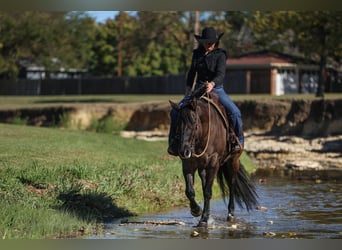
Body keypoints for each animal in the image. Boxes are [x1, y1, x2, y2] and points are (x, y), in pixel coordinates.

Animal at [170, 88, 258, 227]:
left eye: (194, 124)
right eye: (178, 124)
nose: (184, 151)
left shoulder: (213, 164)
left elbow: (207, 192)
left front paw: (204, 219)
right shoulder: (188, 164)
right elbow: (190, 191)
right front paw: (196, 210)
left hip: (233, 162)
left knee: (232, 184)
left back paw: (230, 213)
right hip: (202, 168)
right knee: (205, 183)